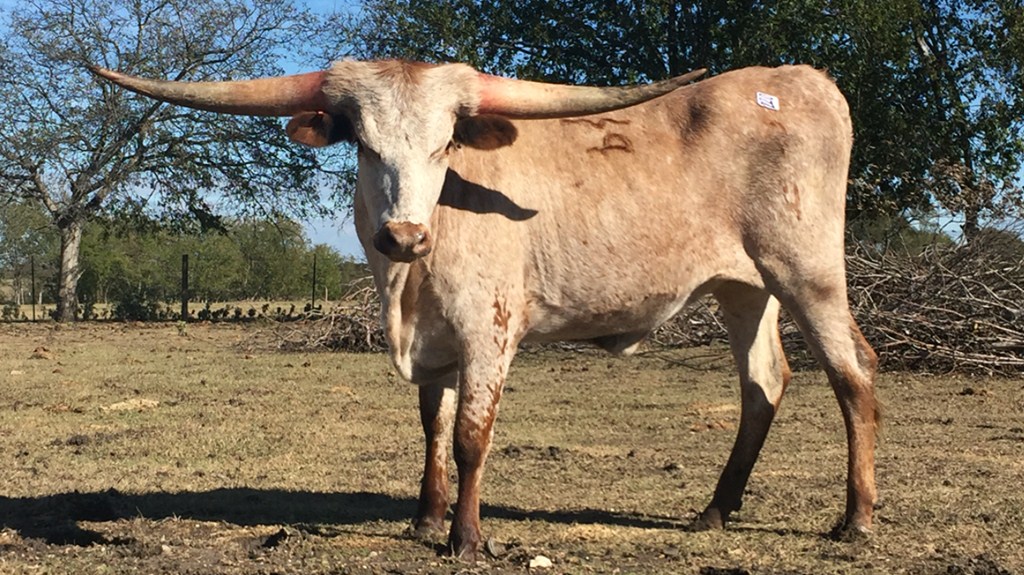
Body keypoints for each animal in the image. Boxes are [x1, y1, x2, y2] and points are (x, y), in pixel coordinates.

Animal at [91, 60, 879, 561]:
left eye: (445, 142)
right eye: (363, 144)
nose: (402, 234)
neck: (411, 280)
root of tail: (799, 79)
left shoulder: (487, 333)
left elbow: (471, 437)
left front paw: (466, 537)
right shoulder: (435, 345)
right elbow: (432, 431)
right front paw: (425, 517)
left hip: (809, 272)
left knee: (854, 377)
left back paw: (856, 518)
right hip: (746, 288)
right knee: (763, 384)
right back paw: (716, 509)